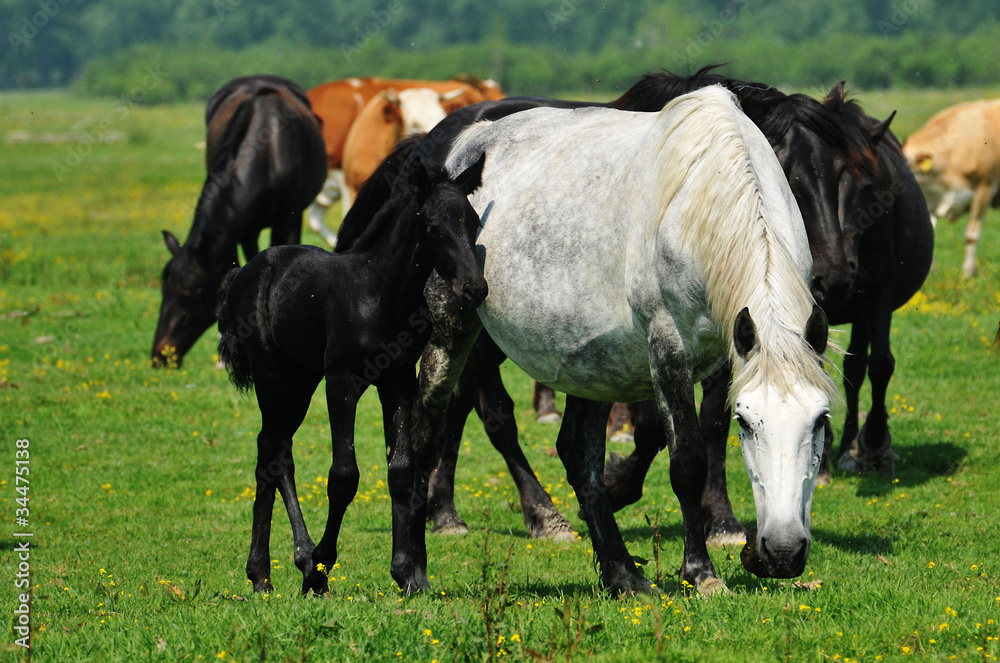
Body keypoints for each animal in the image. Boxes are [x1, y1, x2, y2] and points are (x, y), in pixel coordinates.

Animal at [150, 78, 326, 370]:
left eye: (190, 296)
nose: (161, 356)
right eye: (163, 290)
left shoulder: (288, 219)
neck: (268, 151)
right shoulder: (244, 229)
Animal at [216, 145, 488, 596]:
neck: (381, 296)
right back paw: (263, 573)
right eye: (432, 226)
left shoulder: (398, 380)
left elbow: (401, 470)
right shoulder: (342, 382)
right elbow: (343, 475)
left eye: (473, 220)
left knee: (277, 451)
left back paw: (293, 561)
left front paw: (406, 573)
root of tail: (244, 271)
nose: (475, 288)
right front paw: (321, 570)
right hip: (274, 377)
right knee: (270, 452)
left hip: (301, 380)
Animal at [440, 85, 844, 592]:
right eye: (747, 422)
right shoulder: (668, 348)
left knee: (576, 452)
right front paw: (701, 572)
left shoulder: (729, 350)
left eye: (821, 420)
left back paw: (621, 572)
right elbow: (687, 460)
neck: (700, 206)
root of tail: (472, 140)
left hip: (591, 365)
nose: (784, 553)